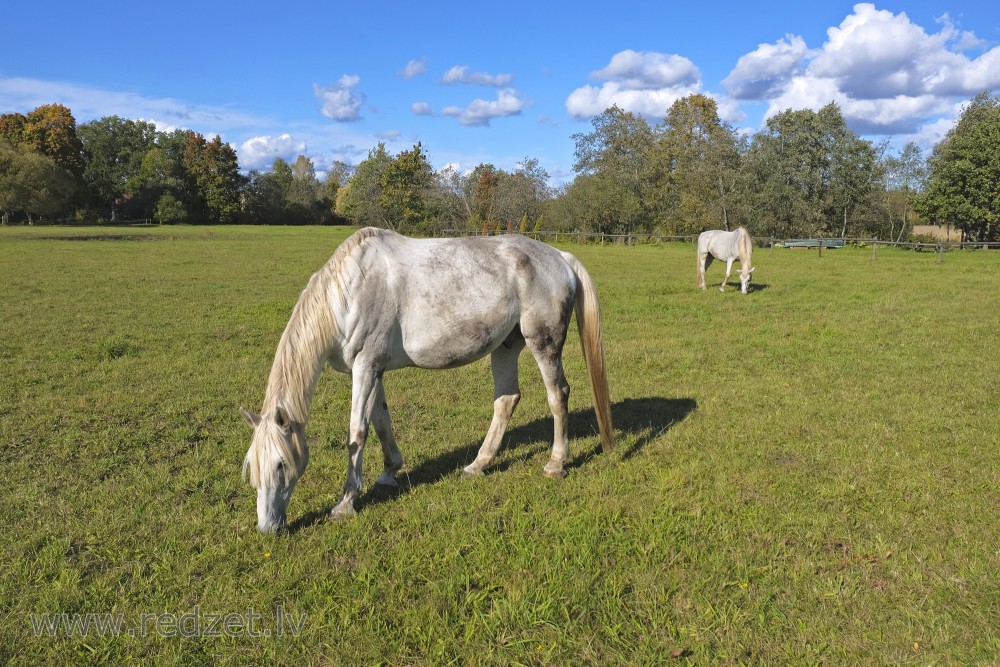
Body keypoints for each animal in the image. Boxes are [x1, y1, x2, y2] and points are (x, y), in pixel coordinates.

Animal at [242, 228, 616, 532]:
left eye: (280, 465)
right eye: (252, 468)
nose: (268, 528)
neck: (350, 292)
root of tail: (560, 257)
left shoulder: (365, 367)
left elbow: (357, 433)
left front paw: (345, 503)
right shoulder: (372, 369)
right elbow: (381, 422)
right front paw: (388, 474)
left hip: (544, 343)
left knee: (558, 395)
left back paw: (556, 463)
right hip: (506, 347)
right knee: (507, 400)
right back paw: (477, 465)